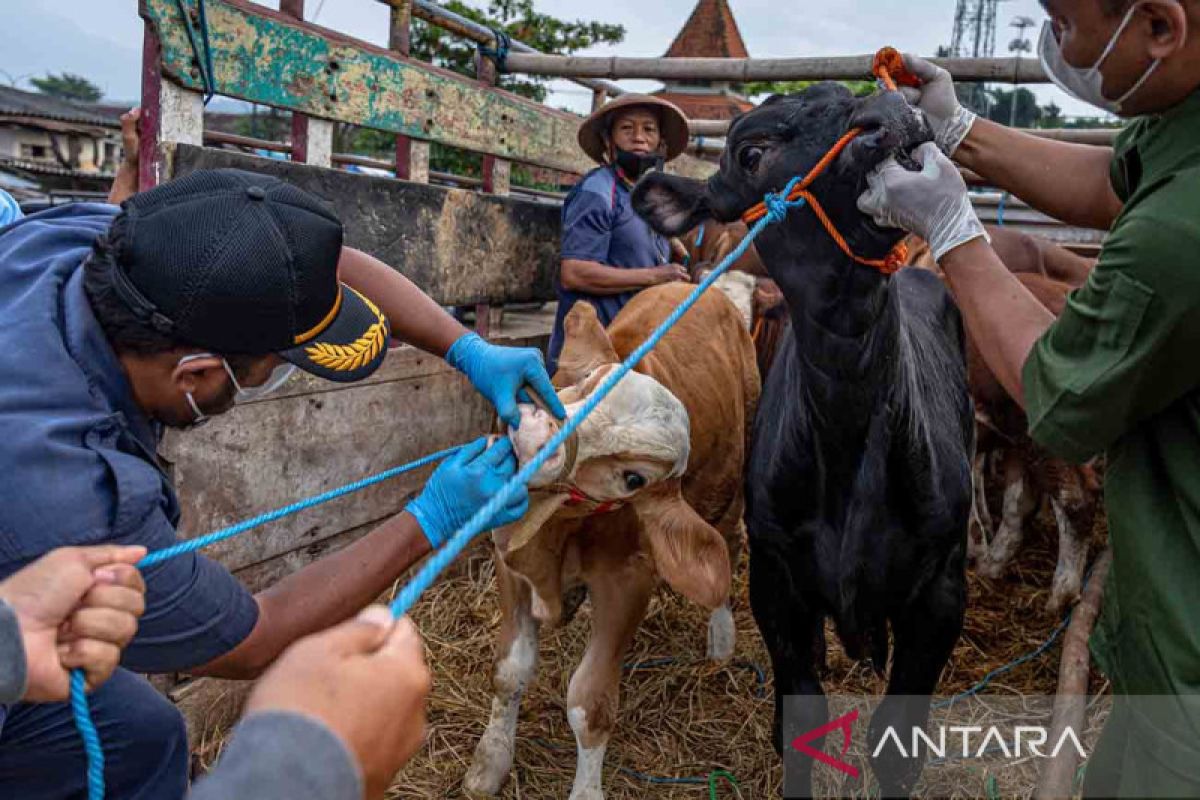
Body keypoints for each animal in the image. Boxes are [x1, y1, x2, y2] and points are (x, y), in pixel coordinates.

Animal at [460, 281, 753, 800]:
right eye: (588, 385)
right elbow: (509, 670)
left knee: (730, 545)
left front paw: (586, 788)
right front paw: (490, 760)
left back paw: (722, 640)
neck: (557, 534)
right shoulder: (509, 559)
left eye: (634, 478)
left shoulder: (627, 580)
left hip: (732, 481)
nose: (533, 435)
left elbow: (590, 704)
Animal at [633, 84, 969, 796]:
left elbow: (898, 738)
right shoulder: (775, 576)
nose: (889, 111)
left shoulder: (941, 590)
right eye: (750, 153)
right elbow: (800, 716)